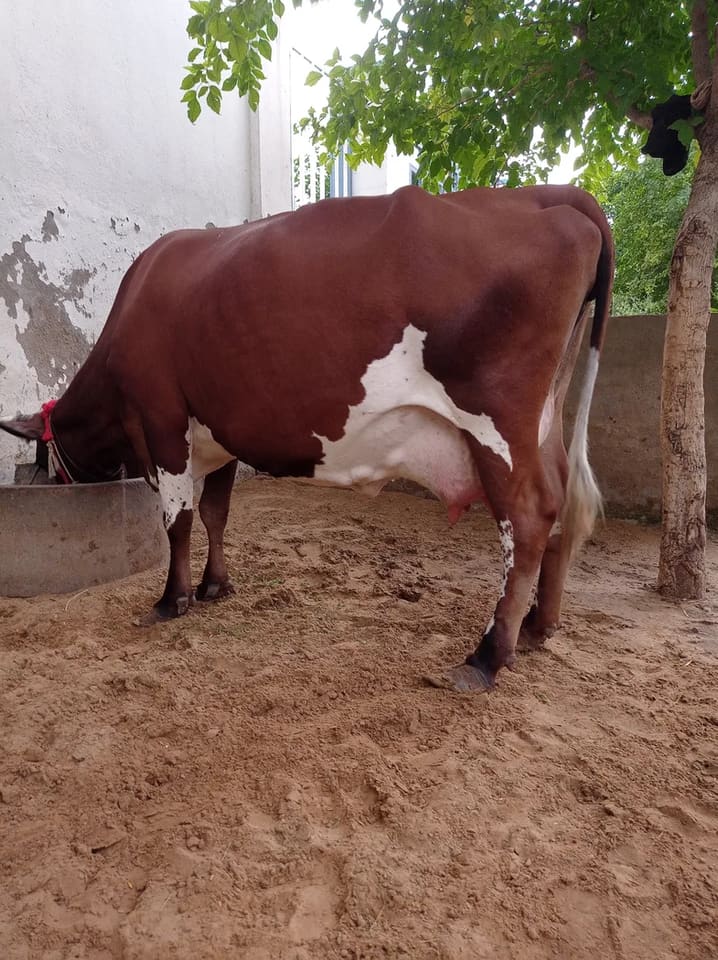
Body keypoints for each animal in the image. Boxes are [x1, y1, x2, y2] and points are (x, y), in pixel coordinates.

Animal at [0, 184, 613, 693]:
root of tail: (550, 193)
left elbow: (178, 520)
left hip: (498, 422)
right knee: (558, 504)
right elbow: (216, 512)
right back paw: (538, 627)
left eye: (39, 455)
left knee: (528, 518)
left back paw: (486, 657)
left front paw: (173, 599)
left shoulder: (162, 418)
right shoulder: (221, 429)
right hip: (543, 423)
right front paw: (215, 586)